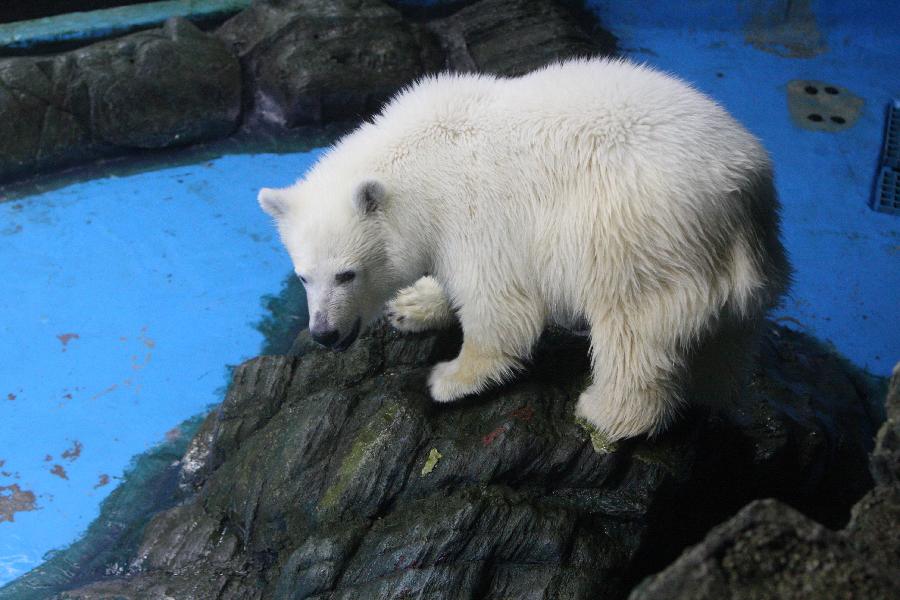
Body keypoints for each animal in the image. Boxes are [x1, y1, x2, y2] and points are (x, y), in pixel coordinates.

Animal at [258, 58, 790, 441]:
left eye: (347, 273)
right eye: (304, 275)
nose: (324, 333)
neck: (420, 164)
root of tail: (744, 187)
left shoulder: (477, 214)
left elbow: (499, 307)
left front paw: (448, 378)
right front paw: (410, 305)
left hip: (638, 234)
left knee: (635, 327)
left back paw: (606, 413)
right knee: (726, 340)